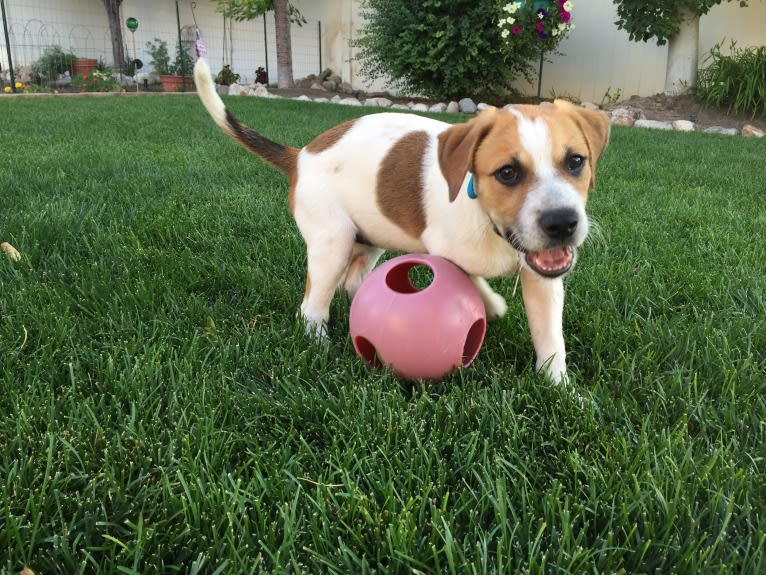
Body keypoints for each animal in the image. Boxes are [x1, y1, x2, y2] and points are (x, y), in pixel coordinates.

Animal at [194, 56, 612, 384]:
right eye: (507, 173)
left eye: (576, 162)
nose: (562, 224)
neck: (489, 224)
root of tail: (300, 156)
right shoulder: (439, 249)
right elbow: (471, 280)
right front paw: (493, 305)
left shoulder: (544, 278)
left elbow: (550, 338)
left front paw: (562, 391)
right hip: (332, 243)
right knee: (312, 305)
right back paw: (319, 344)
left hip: (368, 239)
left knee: (353, 282)